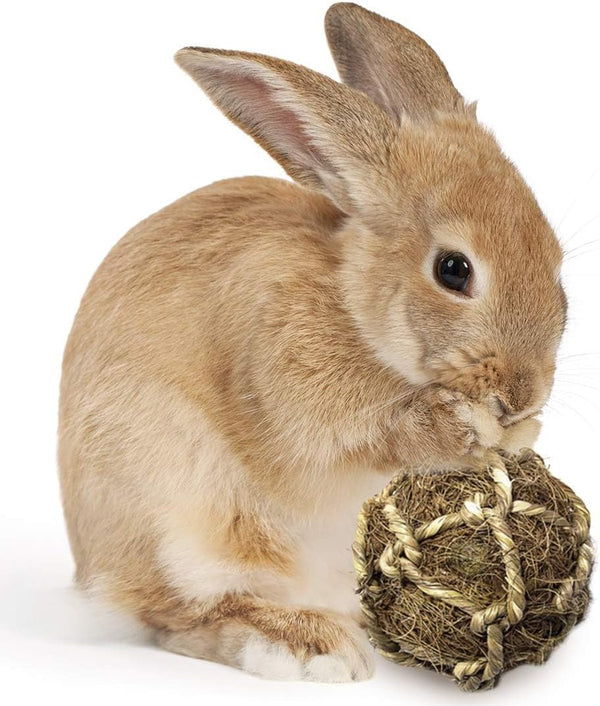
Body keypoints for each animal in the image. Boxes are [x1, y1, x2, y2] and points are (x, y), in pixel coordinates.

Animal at [58, 2, 567, 683]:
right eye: (453, 270)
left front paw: (518, 434)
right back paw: (309, 644)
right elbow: (360, 436)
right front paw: (461, 427)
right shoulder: (289, 390)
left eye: (555, 257)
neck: (355, 308)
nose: (522, 394)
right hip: (179, 517)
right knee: (181, 618)